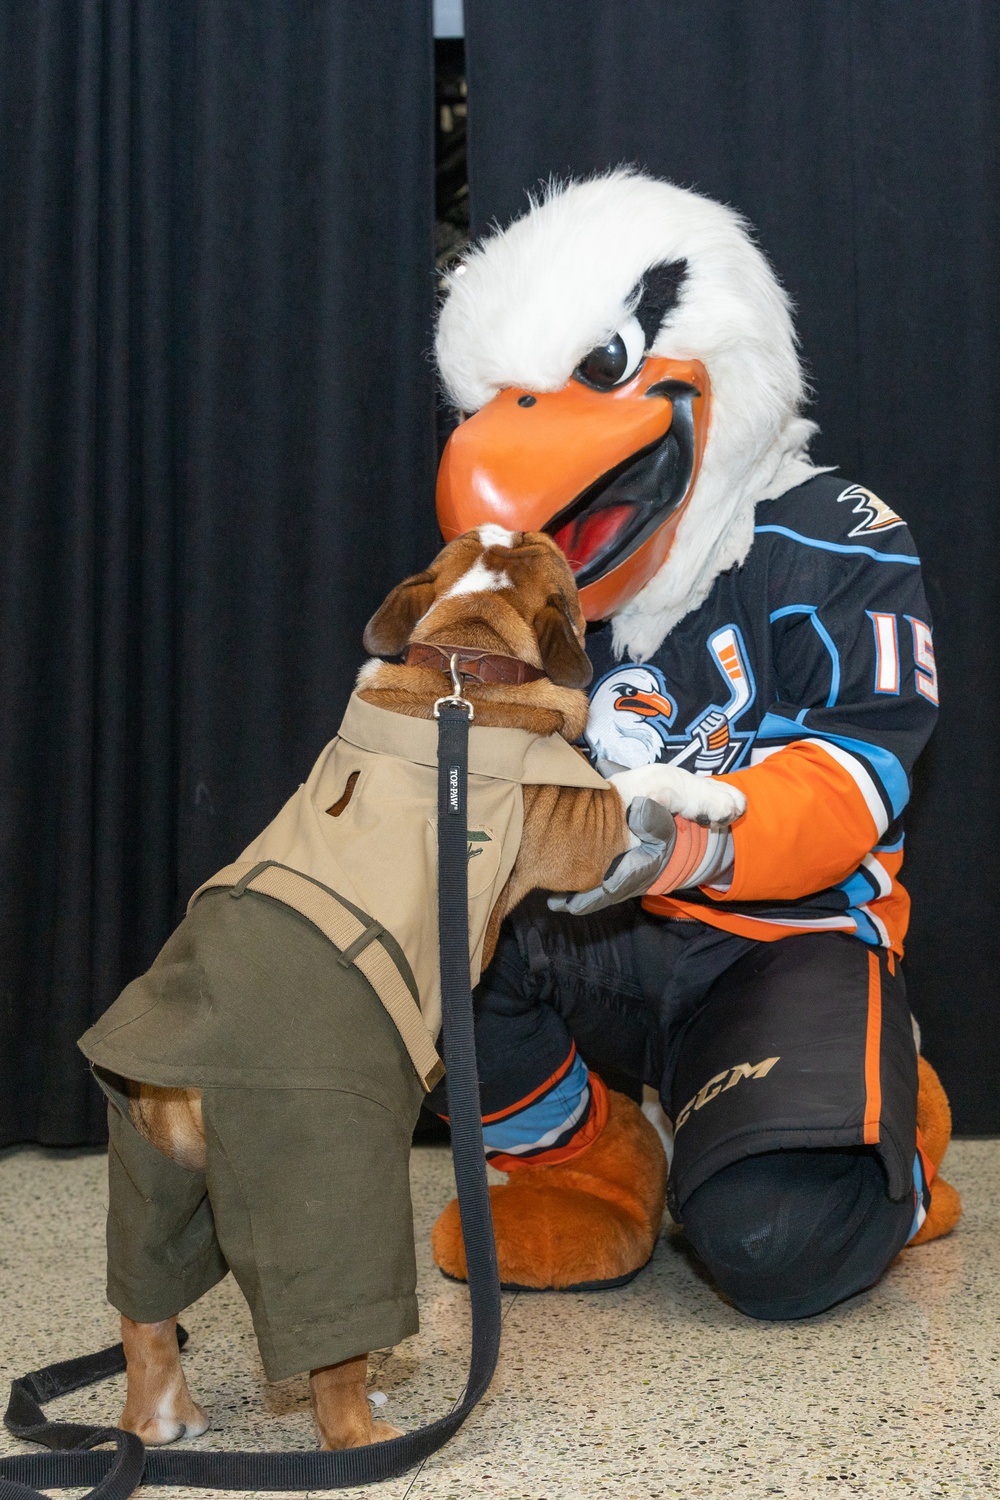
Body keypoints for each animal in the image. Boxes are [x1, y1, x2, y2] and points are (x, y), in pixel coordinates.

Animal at [117, 531, 629, 1452]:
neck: (463, 660)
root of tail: (191, 1077)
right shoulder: (587, 832)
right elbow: (638, 793)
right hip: (328, 1192)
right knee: (332, 1355)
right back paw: (366, 1436)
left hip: (153, 1184)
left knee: (145, 1317)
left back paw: (164, 1421)